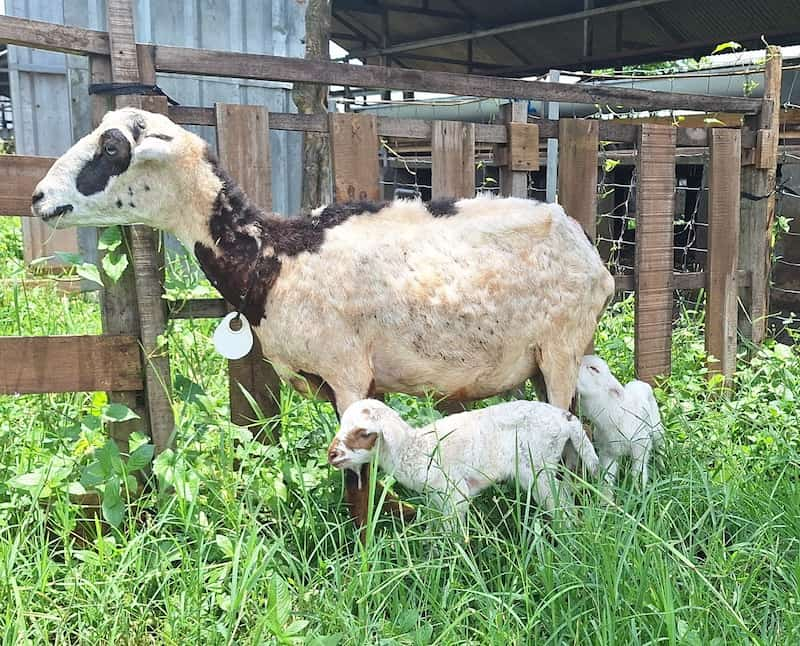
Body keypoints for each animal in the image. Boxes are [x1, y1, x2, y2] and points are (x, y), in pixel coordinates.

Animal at [326, 398, 600, 528]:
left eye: (364, 432)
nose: (332, 455)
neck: (414, 448)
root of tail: (566, 419)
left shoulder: (454, 492)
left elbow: (453, 532)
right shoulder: (437, 497)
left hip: (537, 464)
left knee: (560, 501)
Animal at [576, 354, 664, 492]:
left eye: (594, 369)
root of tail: (639, 382)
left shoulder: (641, 445)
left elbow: (638, 472)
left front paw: (639, 491)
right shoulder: (607, 453)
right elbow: (607, 478)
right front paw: (606, 496)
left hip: (656, 428)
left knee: (660, 445)